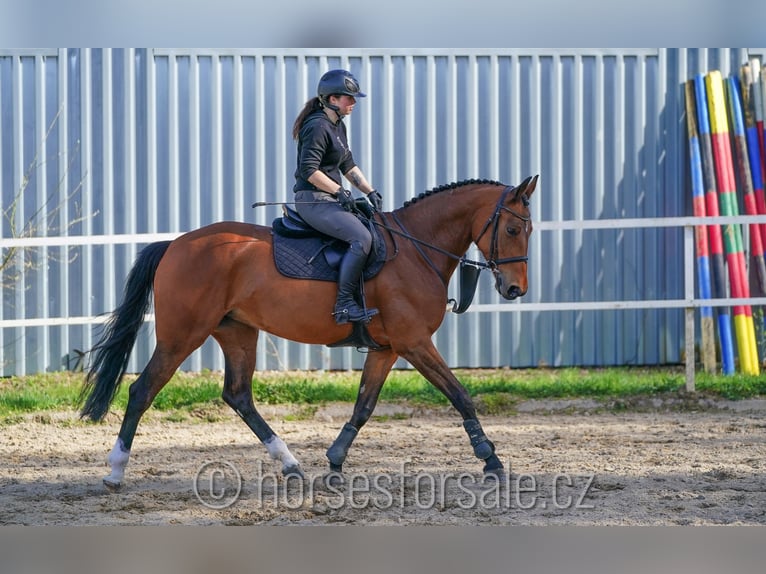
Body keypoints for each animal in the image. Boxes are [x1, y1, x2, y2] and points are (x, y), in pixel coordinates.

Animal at [79, 174, 540, 490]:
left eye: (529, 229)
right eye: (513, 229)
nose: (515, 289)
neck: (415, 248)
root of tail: (175, 244)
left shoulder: (387, 349)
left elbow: (363, 407)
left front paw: (334, 461)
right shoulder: (414, 343)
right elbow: (460, 394)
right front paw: (490, 459)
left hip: (238, 333)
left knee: (238, 395)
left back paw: (290, 463)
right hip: (182, 335)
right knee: (143, 390)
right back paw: (116, 471)